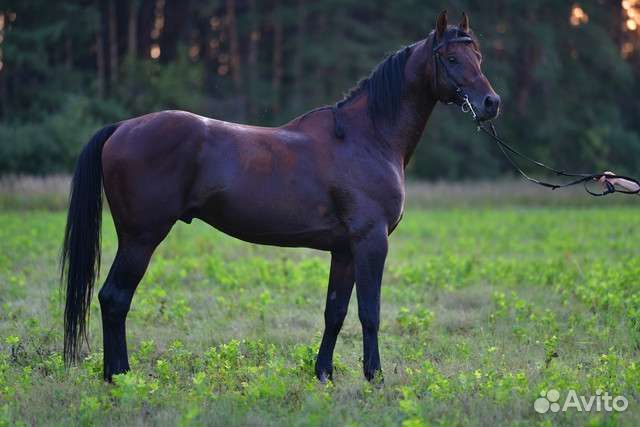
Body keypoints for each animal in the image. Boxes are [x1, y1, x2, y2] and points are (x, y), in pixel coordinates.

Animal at [60, 10, 500, 382]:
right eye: (452, 58)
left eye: (477, 54)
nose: (491, 103)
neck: (367, 136)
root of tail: (122, 128)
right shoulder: (371, 241)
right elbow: (369, 313)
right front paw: (374, 376)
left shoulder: (344, 249)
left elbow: (335, 311)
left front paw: (323, 374)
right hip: (141, 238)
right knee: (115, 298)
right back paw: (119, 377)